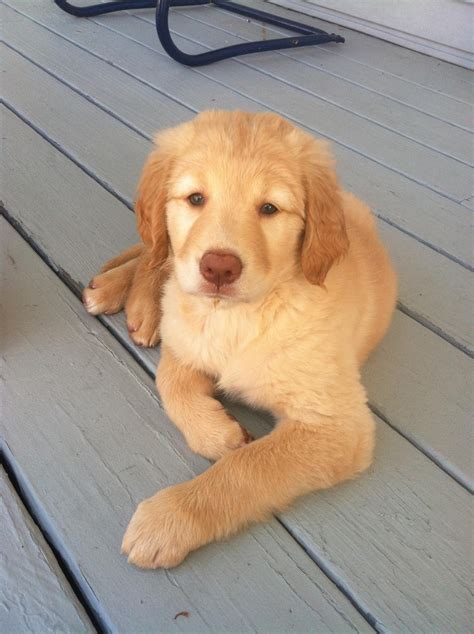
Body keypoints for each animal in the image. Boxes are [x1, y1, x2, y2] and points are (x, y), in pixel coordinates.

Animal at [84, 110, 396, 568]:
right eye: (196, 198)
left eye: (269, 208)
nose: (218, 268)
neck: (235, 317)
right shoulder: (183, 337)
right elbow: (170, 383)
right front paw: (218, 434)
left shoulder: (336, 425)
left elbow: (246, 468)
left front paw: (167, 519)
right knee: (155, 252)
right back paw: (125, 295)